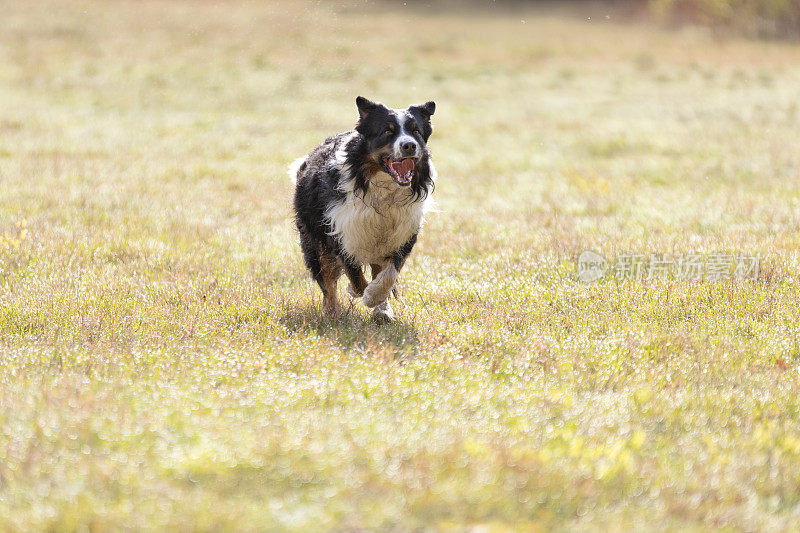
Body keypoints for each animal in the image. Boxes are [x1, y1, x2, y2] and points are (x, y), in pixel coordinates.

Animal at [290, 96, 438, 320]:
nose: (410, 146)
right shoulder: (341, 231)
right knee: (327, 281)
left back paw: (382, 310)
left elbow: (389, 273)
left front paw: (377, 299)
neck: (382, 188)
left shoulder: (402, 233)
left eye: (417, 132)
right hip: (314, 239)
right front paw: (361, 293)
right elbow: (355, 276)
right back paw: (332, 312)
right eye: (387, 131)